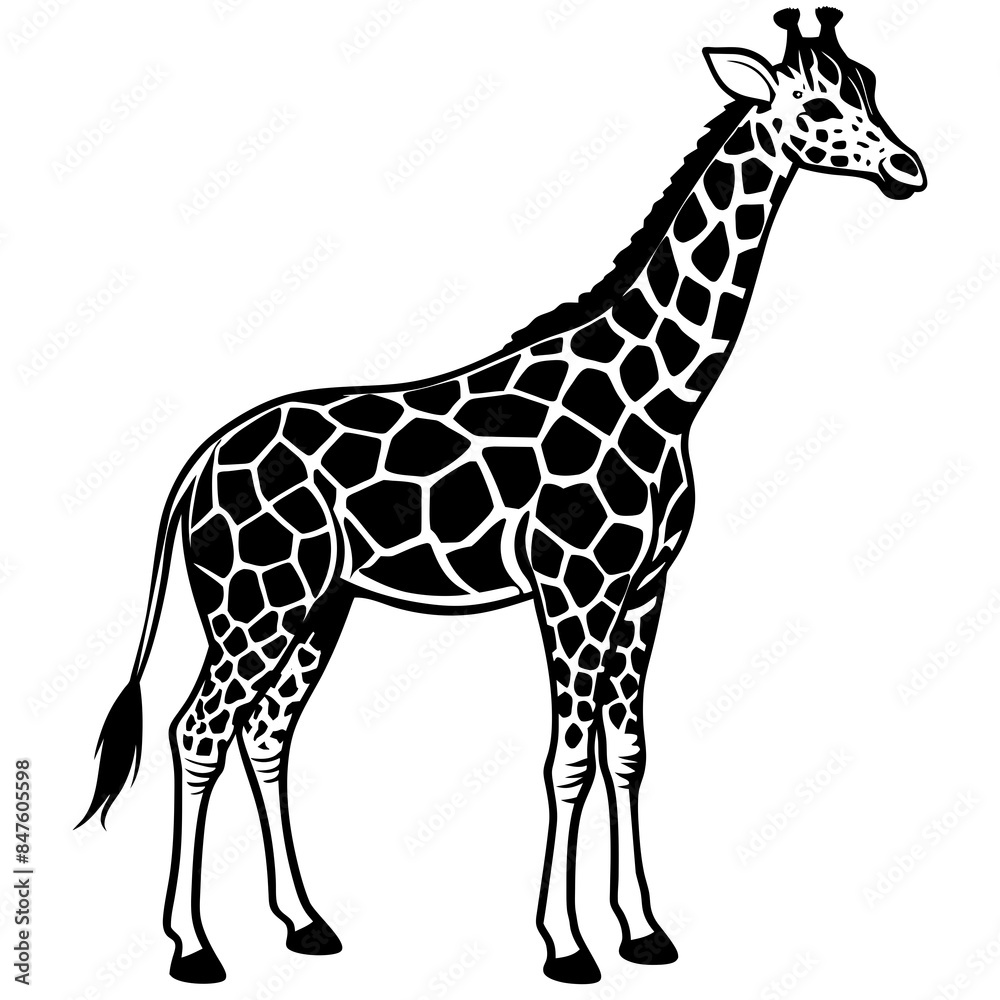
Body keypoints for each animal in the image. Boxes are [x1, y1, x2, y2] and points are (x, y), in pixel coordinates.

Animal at [79, 8, 926, 986]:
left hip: (318, 607)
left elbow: (627, 751)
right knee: (198, 732)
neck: (664, 393)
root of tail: (199, 464)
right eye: (816, 104)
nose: (909, 170)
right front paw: (567, 945)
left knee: (265, 733)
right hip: (254, 604)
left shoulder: (644, 589)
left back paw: (304, 922)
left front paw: (644, 932)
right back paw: (192, 947)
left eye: (870, 83)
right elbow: (569, 758)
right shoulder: (573, 589)